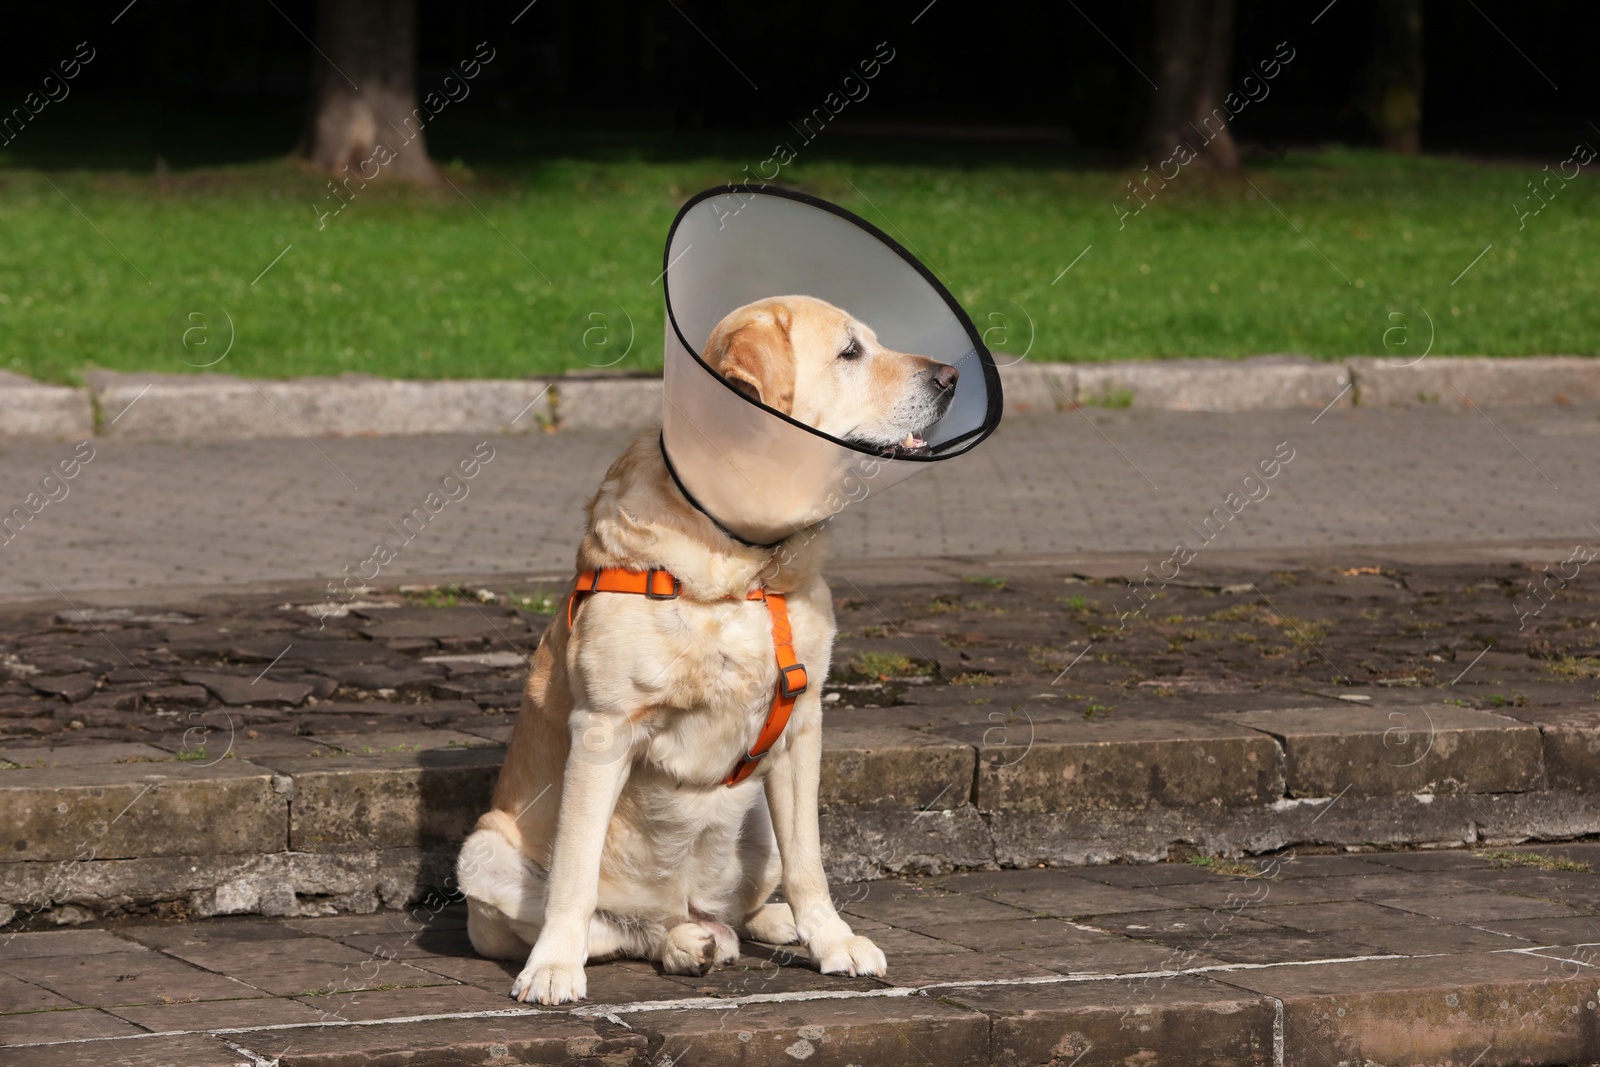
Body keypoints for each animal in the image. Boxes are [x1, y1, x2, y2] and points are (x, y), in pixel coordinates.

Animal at [460, 292, 960, 1004]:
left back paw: (767, 925)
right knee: (622, 928)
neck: (741, 558)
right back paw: (679, 943)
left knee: (744, 904)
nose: (951, 377)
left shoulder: (803, 729)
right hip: (485, 855)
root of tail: (687, 906)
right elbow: (573, 878)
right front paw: (553, 967)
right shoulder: (602, 729)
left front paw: (832, 941)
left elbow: (811, 863)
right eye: (850, 351)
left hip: (760, 821)